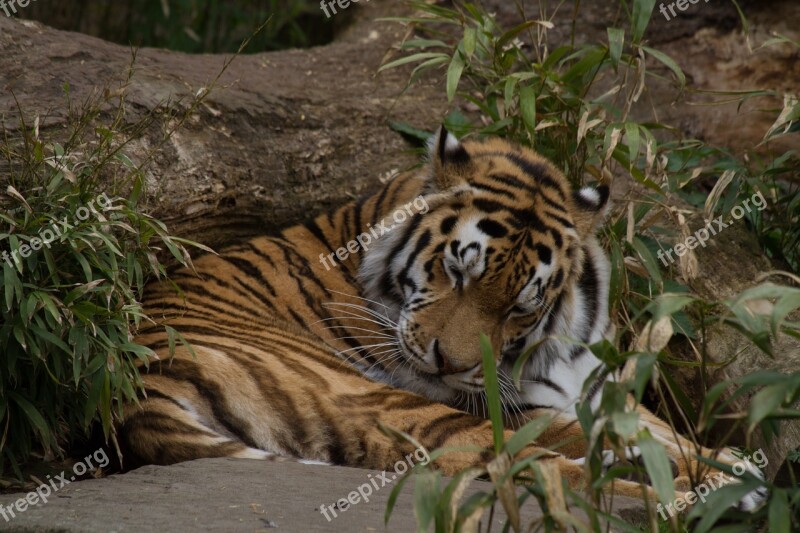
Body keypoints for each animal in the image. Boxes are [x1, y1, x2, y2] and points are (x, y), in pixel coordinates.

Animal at [123, 127, 764, 510]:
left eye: (521, 304)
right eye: (458, 271)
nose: (447, 364)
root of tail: (136, 381)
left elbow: (656, 428)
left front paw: (729, 458)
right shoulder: (514, 406)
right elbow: (602, 434)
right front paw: (727, 469)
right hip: (386, 402)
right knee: (540, 470)